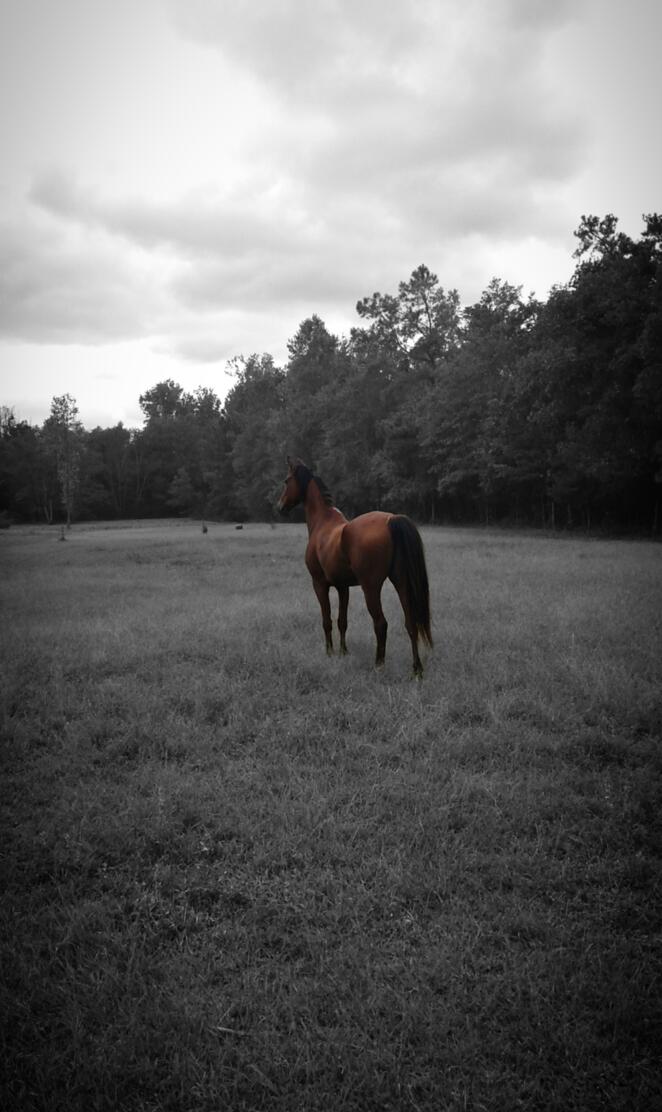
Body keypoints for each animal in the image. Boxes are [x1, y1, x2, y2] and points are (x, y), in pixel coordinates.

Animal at [277, 457, 432, 677]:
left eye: (286, 480)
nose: (280, 506)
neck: (322, 522)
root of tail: (391, 519)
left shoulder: (319, 584)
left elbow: (327, 621)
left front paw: (330, 653)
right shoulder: (343, 587)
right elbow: (342, 621)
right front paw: (343, 652)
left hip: (371, 587)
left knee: (381, 623)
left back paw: (379, 664)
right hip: (401, 583)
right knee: (411, 623)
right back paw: (416, 669)